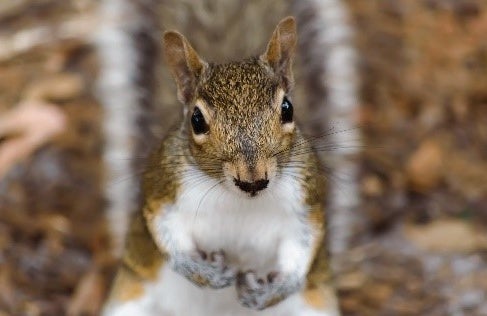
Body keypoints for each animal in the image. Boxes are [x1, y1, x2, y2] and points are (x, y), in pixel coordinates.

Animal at [101, 16, 342, 316]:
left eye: (288, 108)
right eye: (196, 120)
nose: (253, 181)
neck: (239, 200)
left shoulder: (305, 202)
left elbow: (302, 247)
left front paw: (272, 291)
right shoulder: (164, 189)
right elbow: (166, 231)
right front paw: (203, 271)